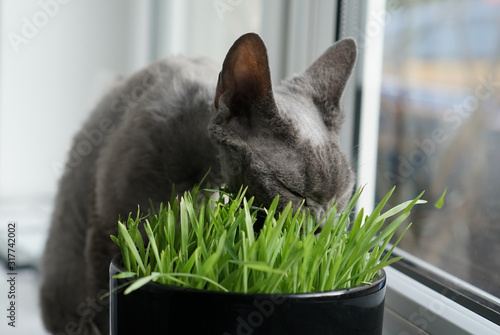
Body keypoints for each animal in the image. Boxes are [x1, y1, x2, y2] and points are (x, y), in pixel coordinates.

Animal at [41, 33, 358, 335]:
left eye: (341, 197)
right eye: (293, 191)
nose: (323, 227)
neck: (204, 181)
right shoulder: (108, 233)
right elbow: (105, 309)